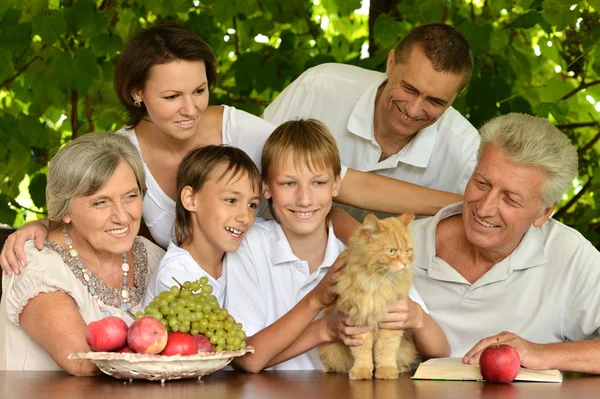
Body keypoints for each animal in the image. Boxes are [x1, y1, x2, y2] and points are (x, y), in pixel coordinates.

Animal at [318, 214, 418, 380]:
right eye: (391, 251)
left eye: (408, 251)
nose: (405, 264)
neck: (377, 285)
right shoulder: (358, 321)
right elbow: (362, 353)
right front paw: (362, 371)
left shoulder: (390, 325)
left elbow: (385, 351)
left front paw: (386, 370)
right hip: (330, 349)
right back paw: (328, 368)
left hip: (406, 347)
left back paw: (401, 368)